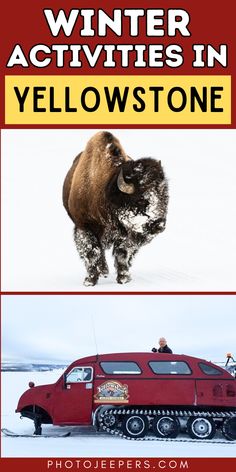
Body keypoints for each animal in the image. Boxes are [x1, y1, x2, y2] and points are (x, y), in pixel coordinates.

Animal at [62, 133, 168, 286]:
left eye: (165, 198)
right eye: (141, 199)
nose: (159, 225)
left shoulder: (126, 233)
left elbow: (122, 252)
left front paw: (123, 277)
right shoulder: (83, 226)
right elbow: (92, 252)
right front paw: (90, 280)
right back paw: (103, 271)